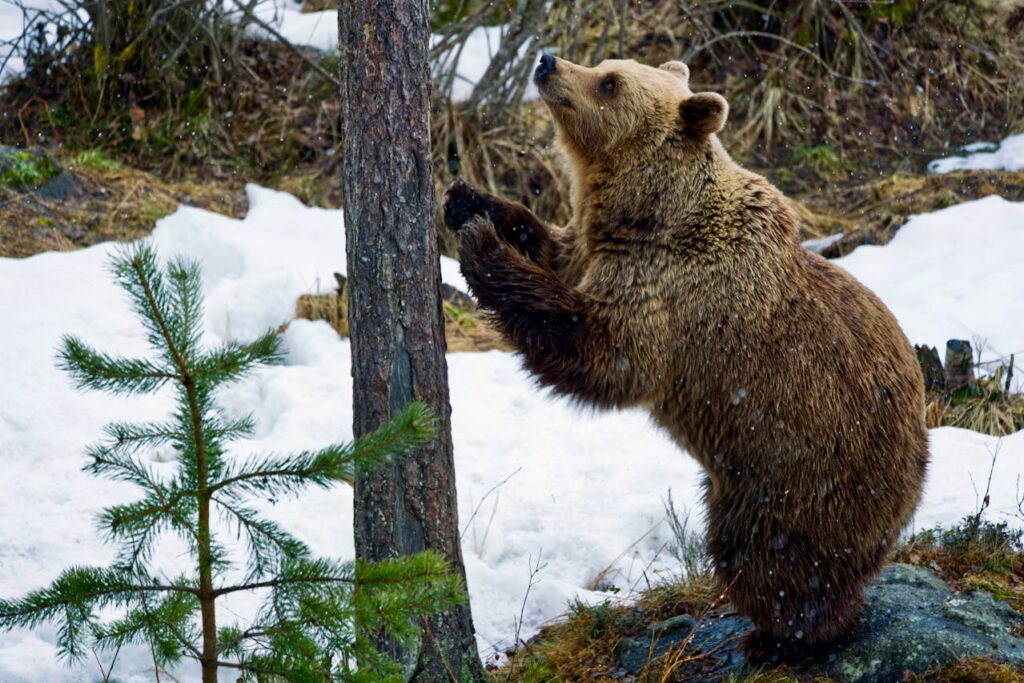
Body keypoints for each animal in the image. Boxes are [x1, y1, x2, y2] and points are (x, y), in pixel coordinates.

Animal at [442, 54, 929, 661]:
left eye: (610, 83)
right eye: (604, 64)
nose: (548, 61)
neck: (648, 216)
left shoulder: (671, 292)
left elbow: (603, 355)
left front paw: (482, 246)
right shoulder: (597, 250)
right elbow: (556, 249)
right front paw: (469, 202)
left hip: (798, 473)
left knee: (770, 557)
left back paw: (783, 638)